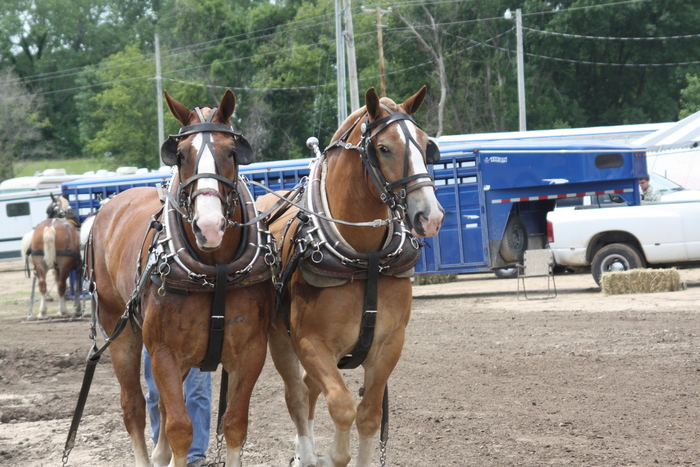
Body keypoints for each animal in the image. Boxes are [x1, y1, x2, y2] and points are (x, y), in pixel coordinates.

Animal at [87, 88, 274, 467]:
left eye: (231, 152)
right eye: (182, 155)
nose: (209, 226)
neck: (214, 271)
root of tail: (110, 206)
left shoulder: (250, 351)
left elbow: (234, 424)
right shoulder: (164, 354)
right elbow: (179, 430)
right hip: (120, 329)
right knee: (134, 407)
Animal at [260, 86, 446, 466]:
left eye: (425, 144)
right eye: (384, 148)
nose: (430, 216)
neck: (366, 260)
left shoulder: (390, 344)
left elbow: (370, 415)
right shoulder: (310, 342)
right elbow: (343, 406)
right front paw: (334, 454)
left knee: (308, 388)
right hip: (279, 339)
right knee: (296, 394)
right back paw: (306, 454)